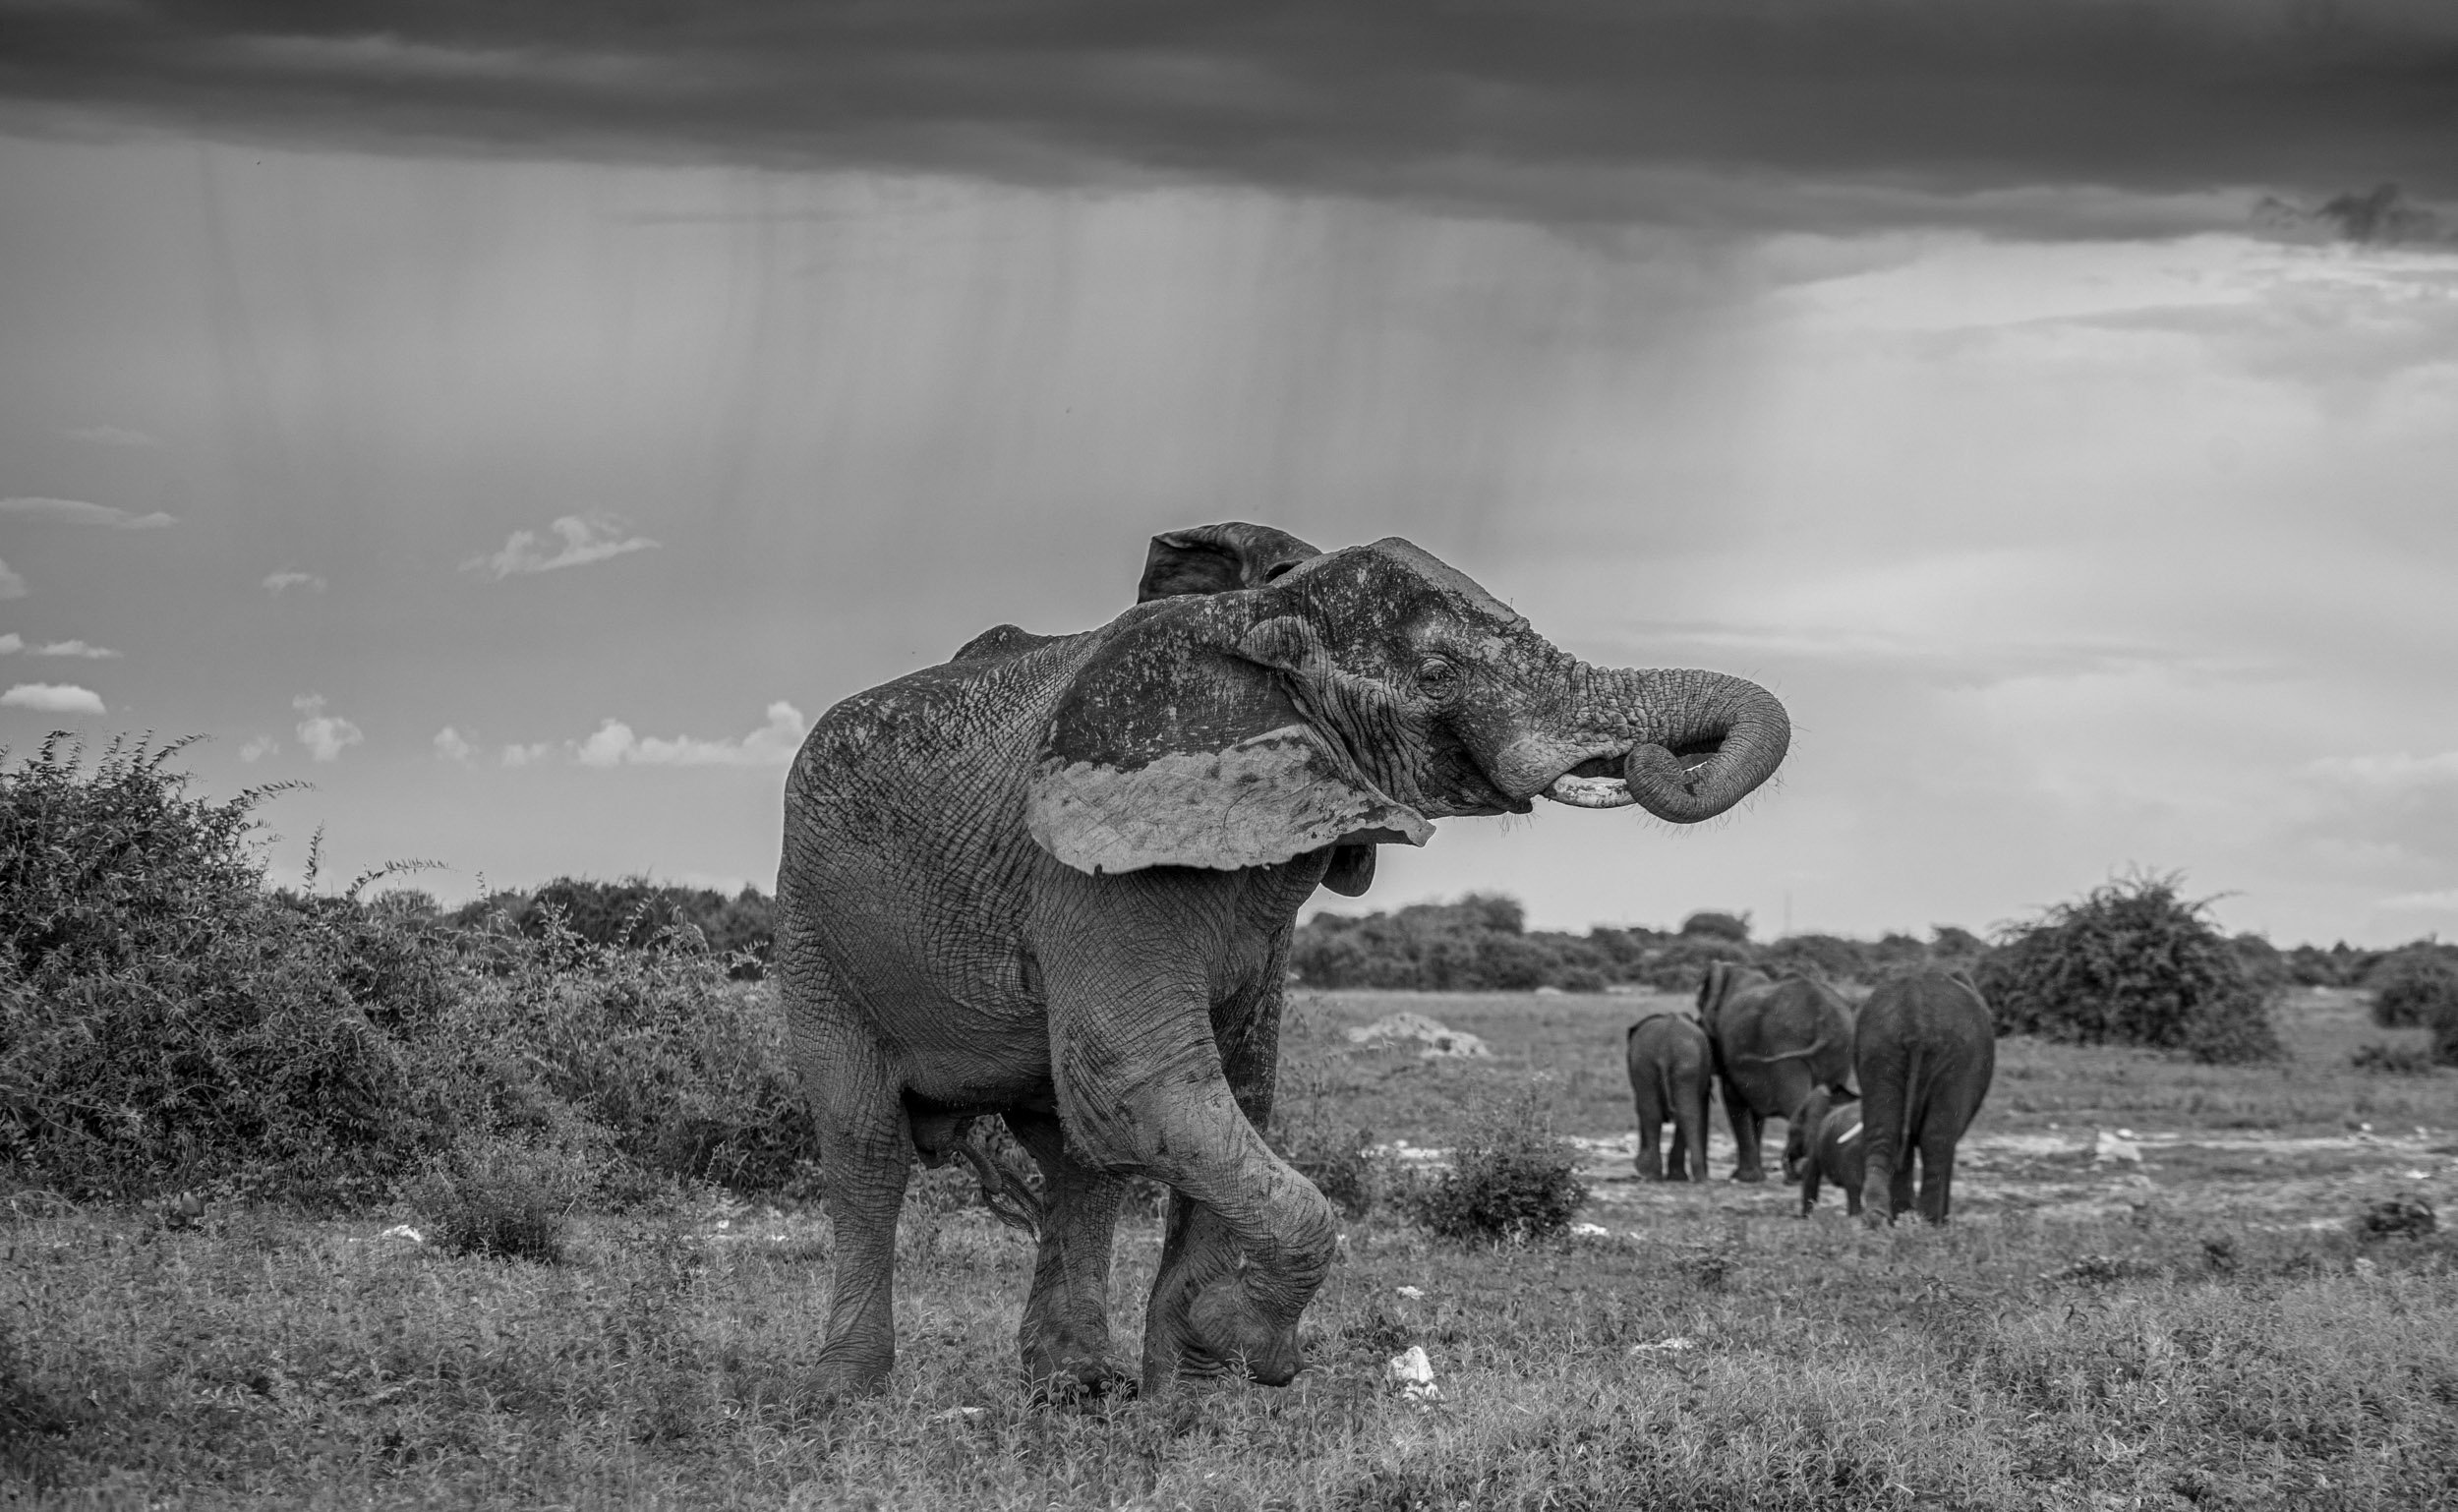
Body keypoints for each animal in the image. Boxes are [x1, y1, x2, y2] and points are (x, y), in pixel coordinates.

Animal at [1624, 1012, 1713, 1182]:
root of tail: (1665, 1045)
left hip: (1653, 1063)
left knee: (1656, 1113)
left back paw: (1657, 1174)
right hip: (1668, 1063)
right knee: (1683, 1113)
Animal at [1695, 962, 1854, 1183]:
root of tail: (1825, 1022)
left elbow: (1733, 1098)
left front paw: (1744, 1177)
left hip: (1786, 1045)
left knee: (1798, 1103)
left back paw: (1796, 1174)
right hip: (1840, 1050)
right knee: (1832, 1097)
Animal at [1851, 969, 1995, 1225]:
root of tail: (1915, 1017)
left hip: (1878, 1049)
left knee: (1884, 1132)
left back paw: (1879, 1219)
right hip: (1957, 1061)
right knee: (1937, 1139)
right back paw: (1931, 1222)